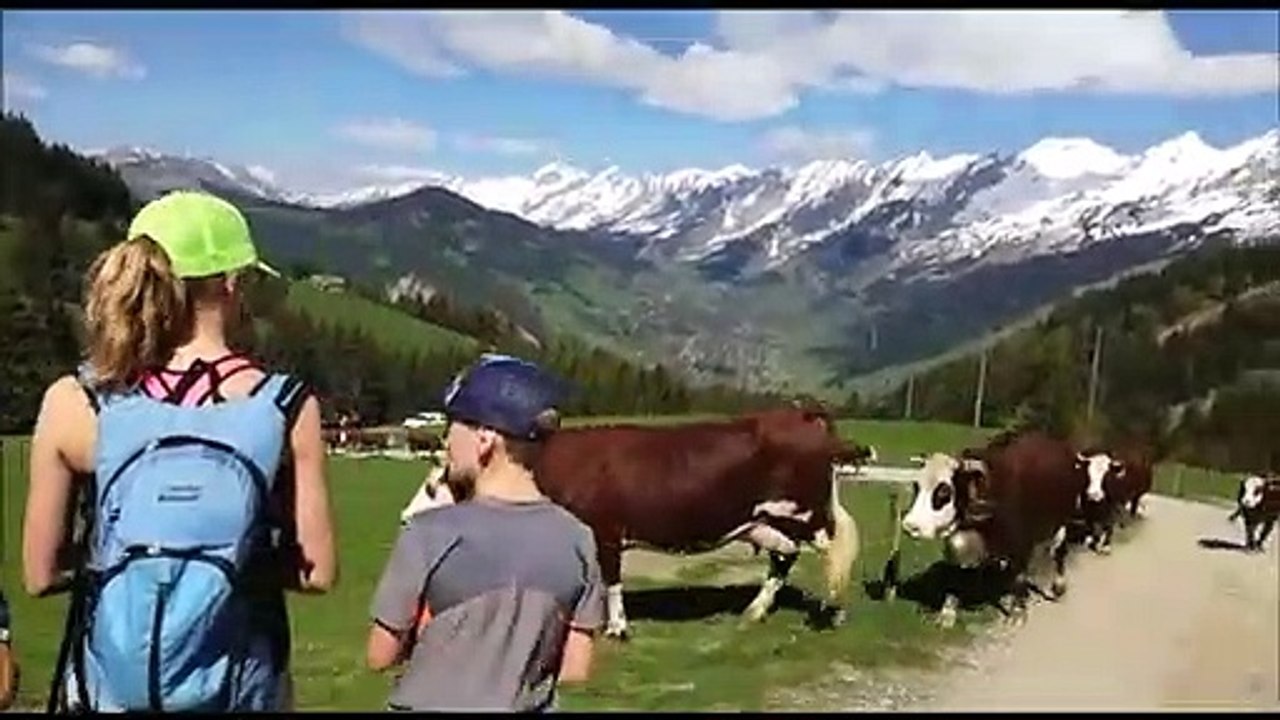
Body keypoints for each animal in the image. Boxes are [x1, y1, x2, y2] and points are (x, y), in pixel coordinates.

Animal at [403, 406, 862, 640]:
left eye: (432, 485)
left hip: (805, 513)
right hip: (769, 520)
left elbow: (611, 580)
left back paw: (835, 612)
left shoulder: (604, 531)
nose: (405, 518)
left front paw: (617, 627)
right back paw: (754, 611)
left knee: (833, 553)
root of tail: (799, 413)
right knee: (784, 559)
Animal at [900, 430, 1087, 629]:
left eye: (944, 491)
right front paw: (948, 612)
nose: (910, 526)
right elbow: (956, 573)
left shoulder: (1022, 544)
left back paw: (1058, 587)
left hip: (1062, 522)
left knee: (1059, 552)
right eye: (916, 486)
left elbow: (1019, 577)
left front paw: (1017, 612)